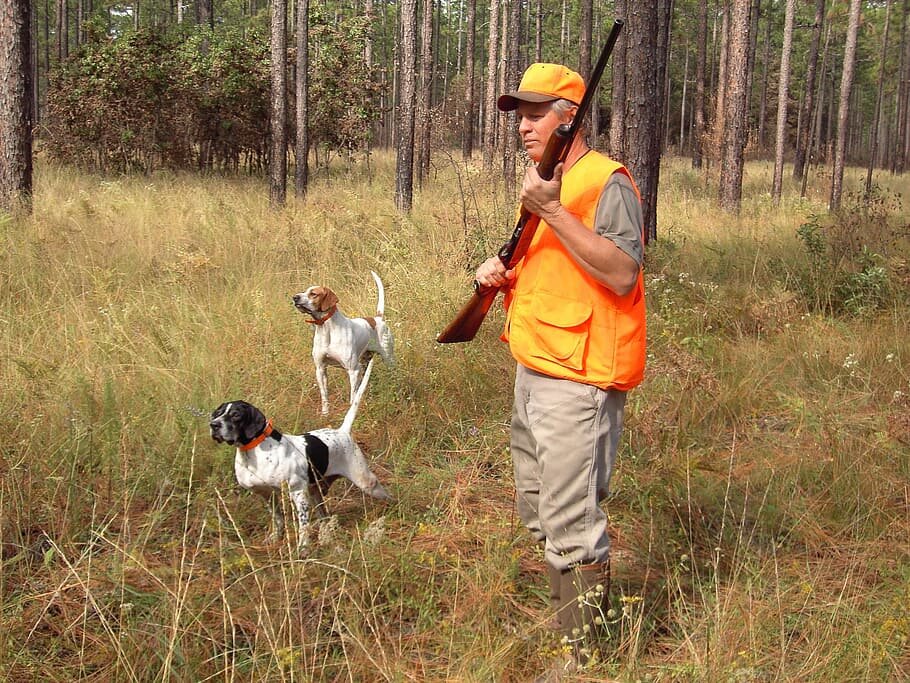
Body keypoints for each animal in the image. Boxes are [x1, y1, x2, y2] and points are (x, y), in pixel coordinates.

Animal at [212, 358, 390, 552]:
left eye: (236, 415)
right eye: (218, 413)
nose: (214, 425)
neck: (254, 452)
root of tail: (342, 431)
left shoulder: (297, 493)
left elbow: (303, 525)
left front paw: (304, 548)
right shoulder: (268, 495)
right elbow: (278, 519)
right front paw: (276, 538)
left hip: (366, 483)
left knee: (388, 496)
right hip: (316, 492)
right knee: (324, 516)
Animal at [292, 270, 392, 414]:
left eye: (313, 294)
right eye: (304, 291)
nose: (295, 297)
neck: (326, 329)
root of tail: (377, 318)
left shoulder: (353, 370)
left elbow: (353, 396)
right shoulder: (320, 369)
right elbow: (324, 395)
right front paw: (325, 413)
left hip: (387, 358)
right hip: (365, 363)